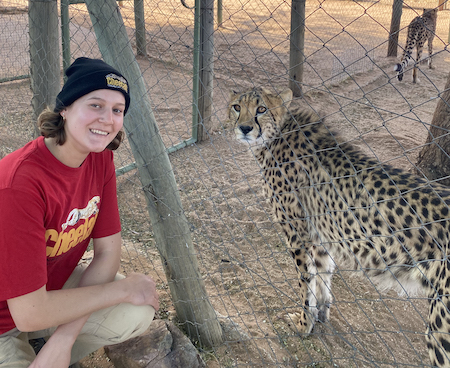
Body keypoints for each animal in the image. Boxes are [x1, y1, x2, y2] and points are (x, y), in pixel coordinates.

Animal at [230, 87, 450, 366]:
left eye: (262, 109)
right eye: (237, 107)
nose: (245, 128)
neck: (276, 135)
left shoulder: (298, 238)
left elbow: (306, 285)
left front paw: (304, 325)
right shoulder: (320, 236)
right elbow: (322, 276)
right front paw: (321, 315)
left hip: (441, 324)